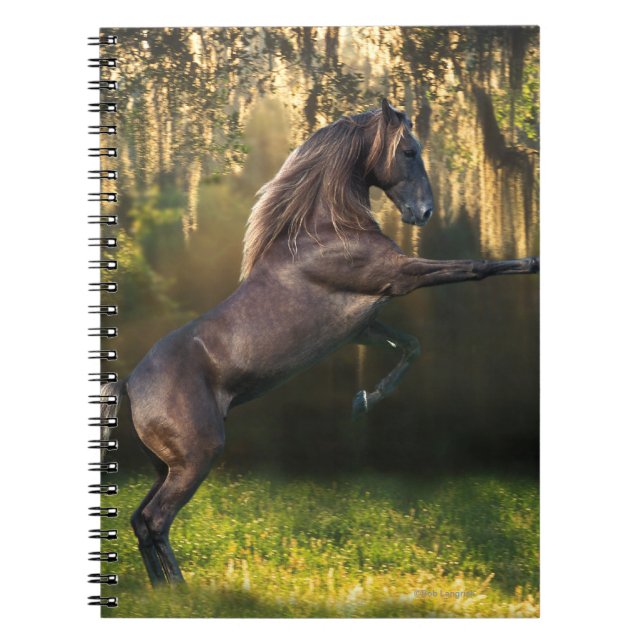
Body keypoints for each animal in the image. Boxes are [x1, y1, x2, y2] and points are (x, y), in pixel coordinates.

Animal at [101, 99, 539, 586]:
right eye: (409, 151)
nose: (423, 213)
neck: (326, 230)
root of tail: (129, 384)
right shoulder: (400, 277)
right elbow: (476, 267)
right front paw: (532, 261)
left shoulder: (364, 325)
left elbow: (411, 346)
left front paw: (363, 401)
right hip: (196, 457)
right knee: (156, 520)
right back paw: (180, 590)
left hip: (166, 465)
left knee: (140, 521)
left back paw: (167, 590)